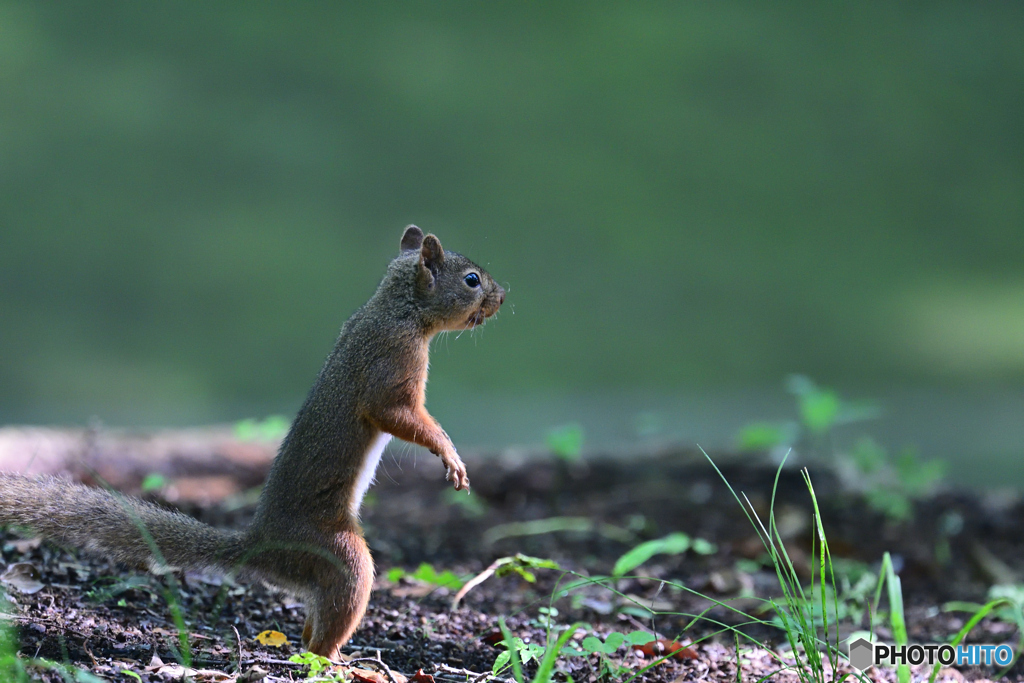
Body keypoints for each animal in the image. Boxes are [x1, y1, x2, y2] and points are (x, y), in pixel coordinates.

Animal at [0, 227, 503, 659]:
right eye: (471, 280)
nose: (503, 296)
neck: (400, 309)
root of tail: (262, 546)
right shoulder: (392, 363)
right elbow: (396, 414)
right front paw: (450, 456)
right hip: (340, 555)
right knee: (324, 632)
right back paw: (343, 662)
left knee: (310, 625)